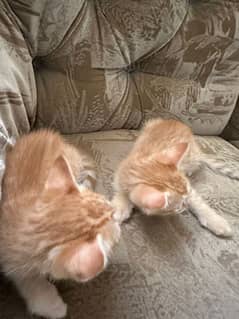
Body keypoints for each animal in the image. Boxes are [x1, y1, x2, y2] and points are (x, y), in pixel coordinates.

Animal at [0, 131, 119, 319]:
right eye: (112, 219)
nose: (116, 212)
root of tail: (56, 137)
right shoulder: (9, 257)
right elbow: (27, 278)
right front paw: (51, 304)